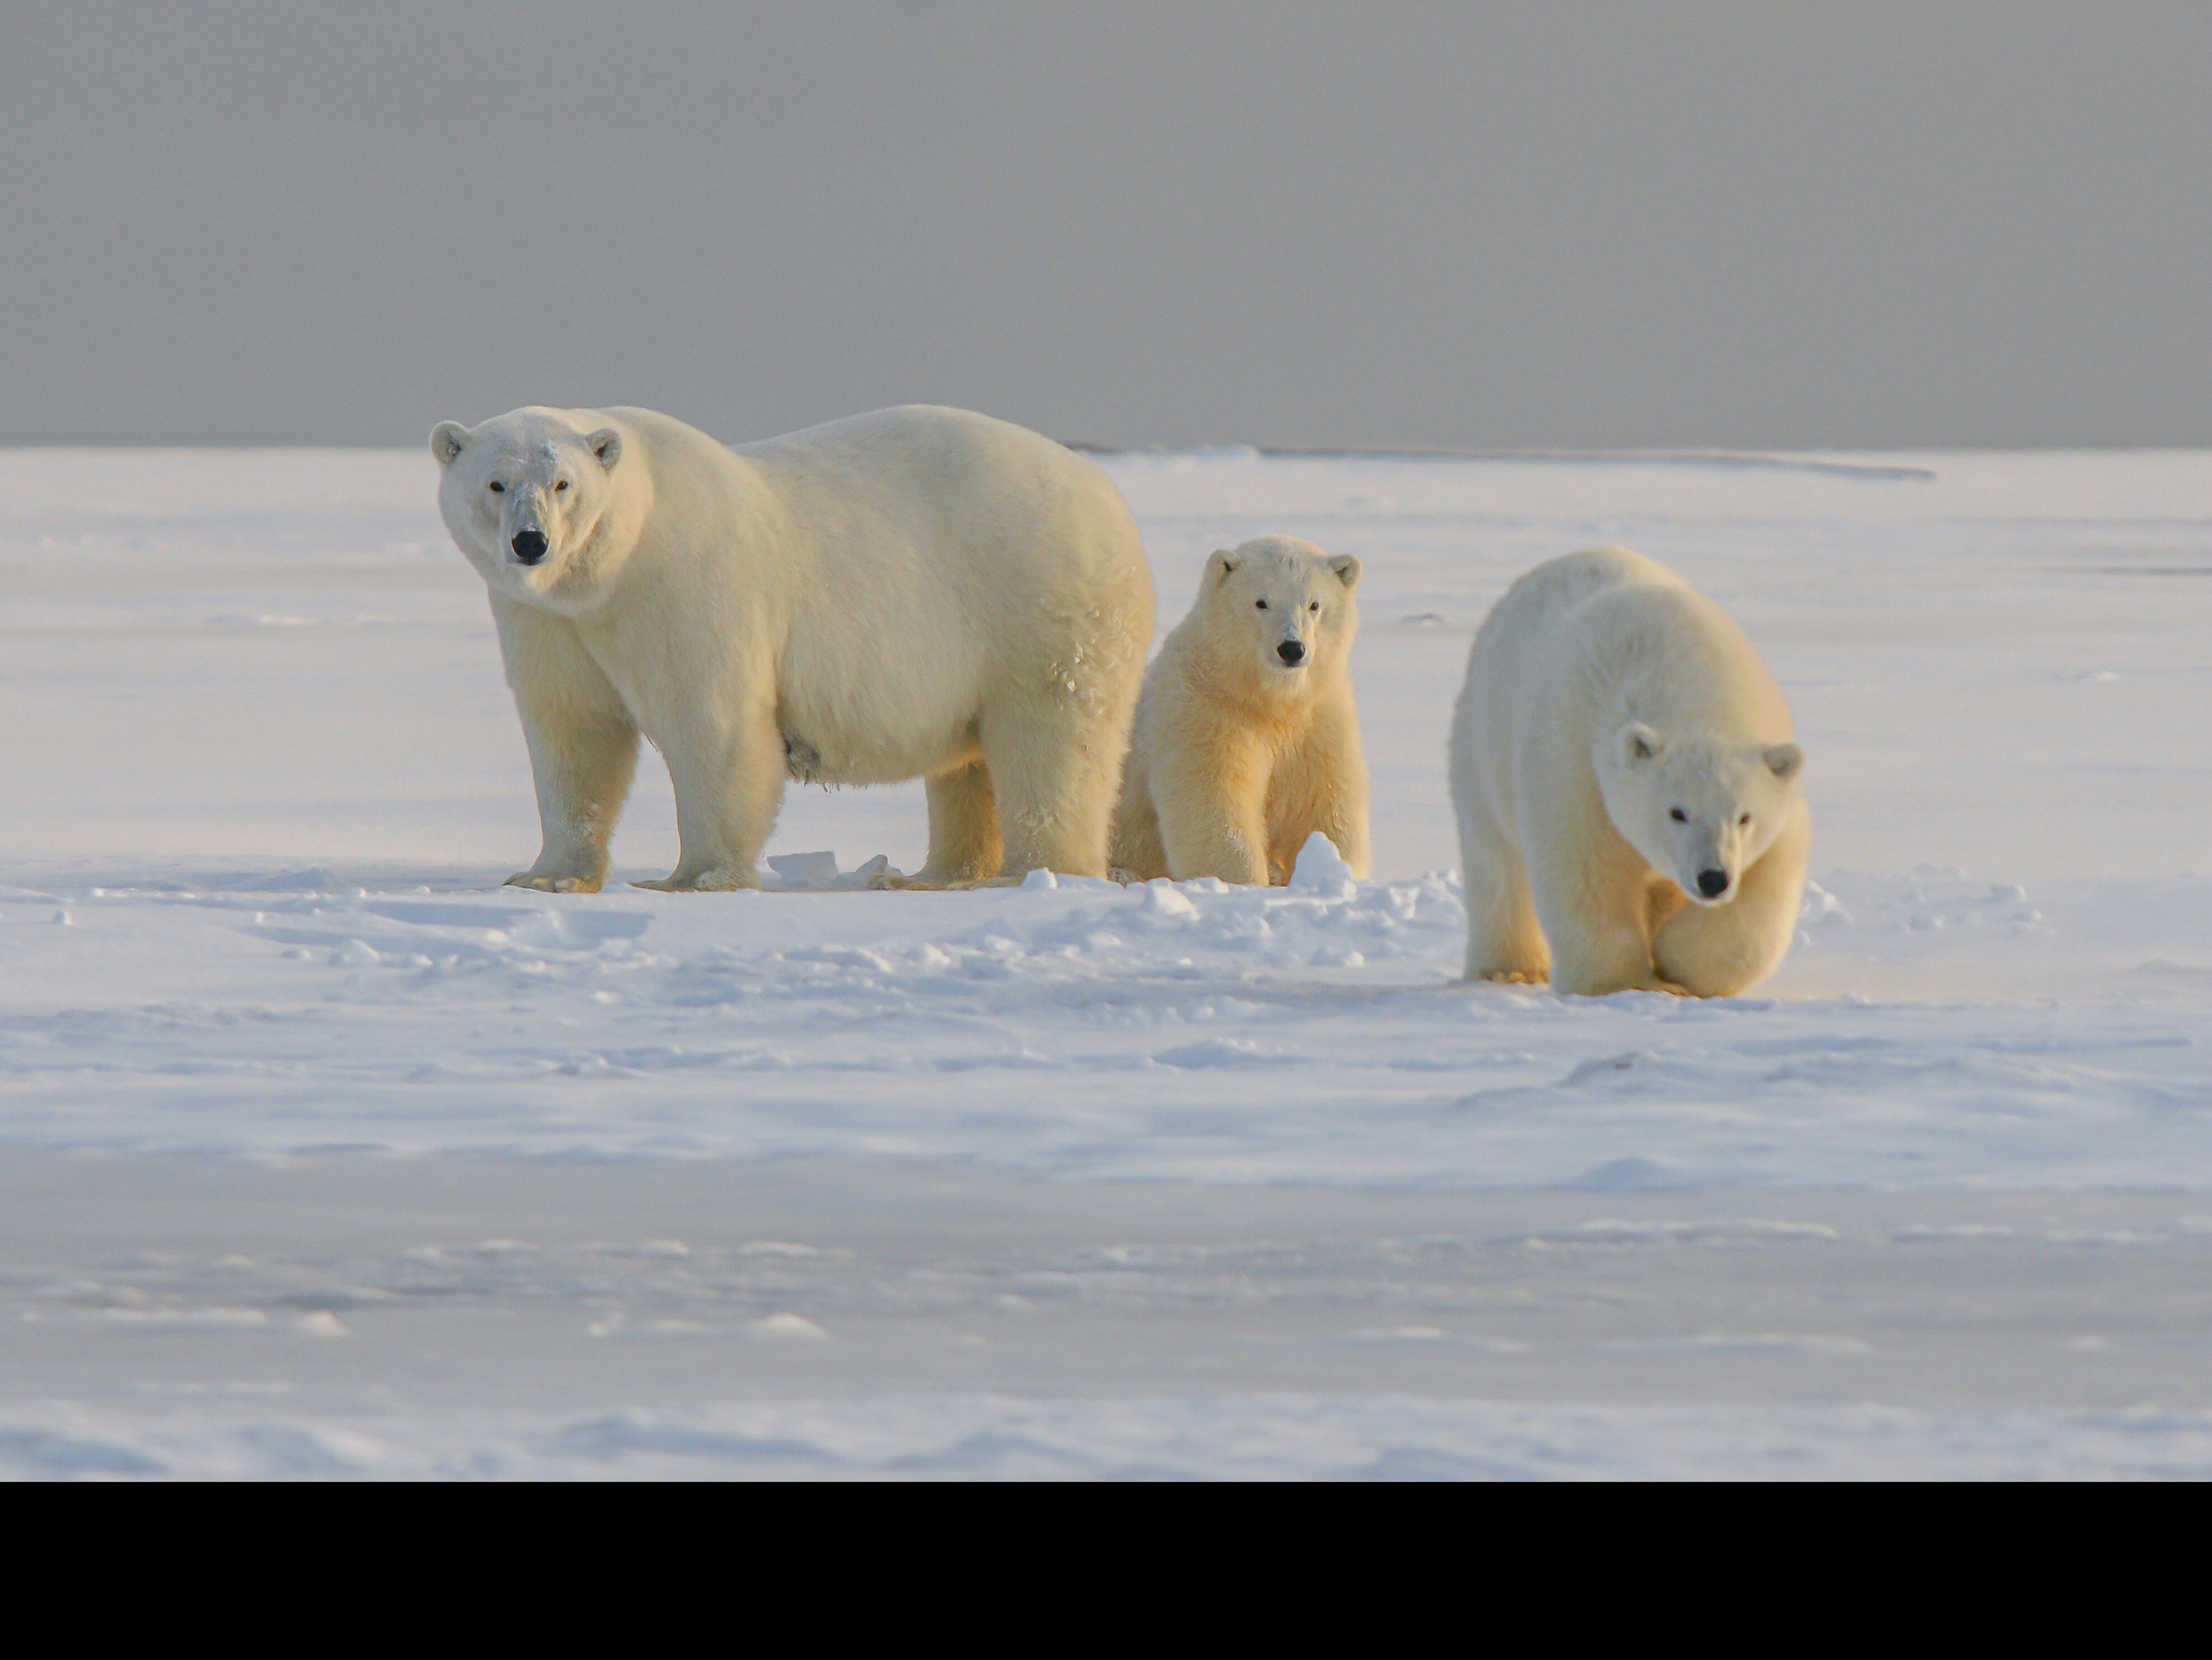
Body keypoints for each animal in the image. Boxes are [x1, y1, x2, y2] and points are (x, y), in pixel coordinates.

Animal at [429, 404, 1155, 893]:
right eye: (495, 483)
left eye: (563, 484)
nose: (531, 542)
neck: (614, 568)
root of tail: (1109, 498)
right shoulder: (548, 621)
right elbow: (572, 733)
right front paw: (547, 876)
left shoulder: (687, 586)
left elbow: (712, 725)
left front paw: (695, 877)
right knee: (968, 763)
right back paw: (933, 874)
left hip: (1038, 606)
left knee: (1051, 740)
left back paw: (1036, 871)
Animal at [1108, 535, 1369, 885]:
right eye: (1261, 602)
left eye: (1314, 604)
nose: (1292, 648)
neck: (1265, 699)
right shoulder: (1204, 711)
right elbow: (1216, 802)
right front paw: (1246, 881)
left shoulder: (1318, 719)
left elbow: (1322, 803)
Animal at [1447, 546, 1808, 997]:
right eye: (1677, 812)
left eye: (1745, 817)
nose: (1713, 879)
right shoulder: (1574, 763)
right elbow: (1587, 869)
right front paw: (1624, 982)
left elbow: (1765, 884)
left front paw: (1677, 964)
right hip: (1481, 748)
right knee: (1496, 862)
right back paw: (1509, 969)